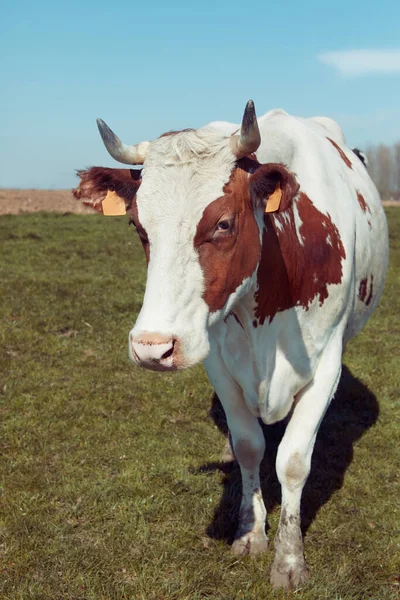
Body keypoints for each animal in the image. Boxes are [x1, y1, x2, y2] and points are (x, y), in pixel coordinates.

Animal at [73, 101, 390, 588]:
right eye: (138, 226)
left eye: (223, 223)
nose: (151, 347)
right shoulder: (219, 363)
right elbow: (248, 446)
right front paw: (249, 532)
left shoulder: (326, 363)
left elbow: (293, 460)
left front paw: (289, 559)